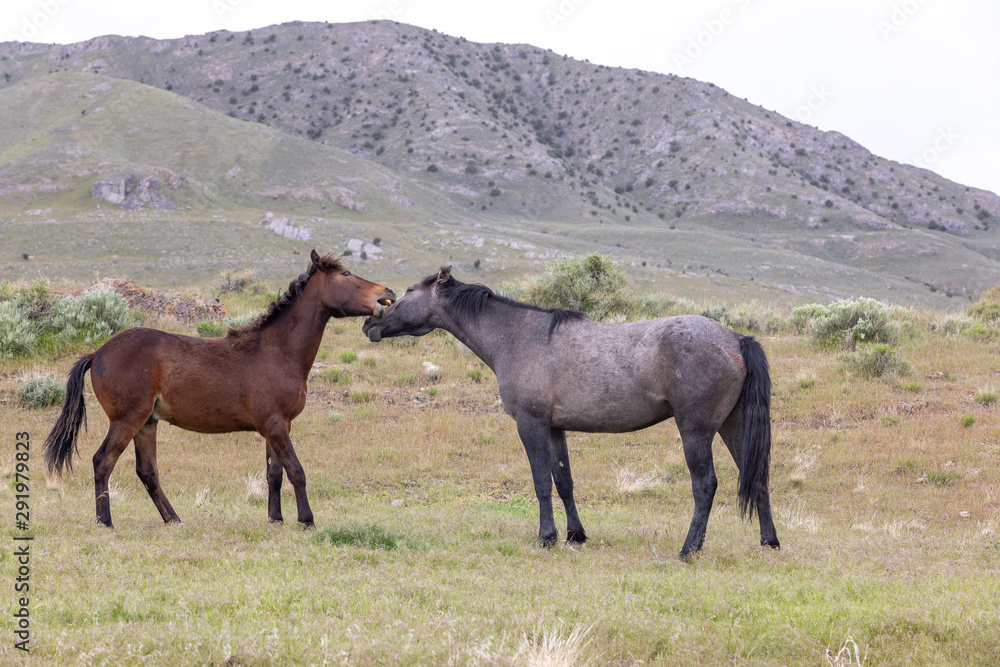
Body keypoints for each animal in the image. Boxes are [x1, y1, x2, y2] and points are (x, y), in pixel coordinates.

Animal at [43, 250, 395, 529]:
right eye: (346, 274)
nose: (387, 292)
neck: (277, 351)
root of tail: (97, 353)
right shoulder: (275, 425)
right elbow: (296, 471)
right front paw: (306, 520)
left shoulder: (276, 426)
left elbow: (274, 474)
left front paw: (276, 519)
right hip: (127, 420)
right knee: (102, 461)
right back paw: (105, 521)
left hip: (147, 423)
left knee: (147, 472)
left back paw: (174, 519)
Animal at [363, 267, 779, 559]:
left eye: (408, 292)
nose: (370, 323)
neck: (518, 336)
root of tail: (736, 339)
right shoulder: (554, 429)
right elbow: (564, 482)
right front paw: (575, 535)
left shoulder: (531, 425)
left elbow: (540, 483)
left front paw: (546, 537)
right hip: (733, 426)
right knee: (756, 479)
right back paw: (769, 542)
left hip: (696, 432)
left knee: (705, 485)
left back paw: (689, 549)